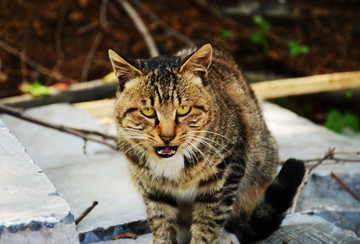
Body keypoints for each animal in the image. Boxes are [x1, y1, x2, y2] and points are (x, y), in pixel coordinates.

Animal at [109, 44, 304, 244]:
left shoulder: (225, 174)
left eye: (183, 109)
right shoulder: (152, 188)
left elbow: (208, 221)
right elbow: (161, 220)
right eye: (148, 111)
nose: (167, 136)